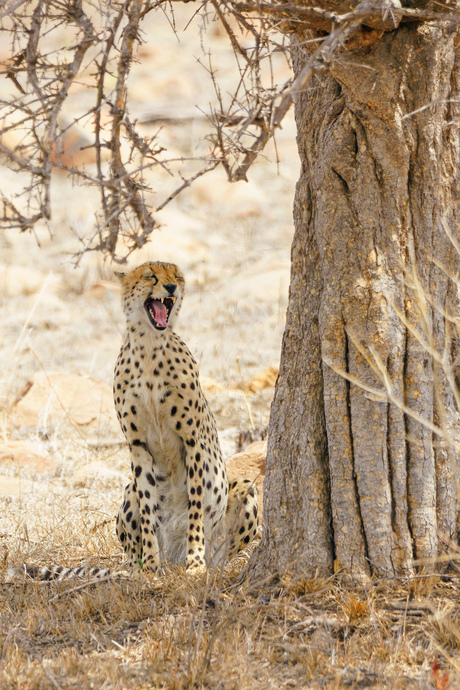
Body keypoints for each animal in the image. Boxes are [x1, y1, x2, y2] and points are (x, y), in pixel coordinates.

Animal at [8, 260, 258, 576]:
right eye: (151, 276)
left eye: (177, 276)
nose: (171, 287)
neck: (150, 345)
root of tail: (173, 558)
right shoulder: (138, 445)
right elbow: (148, 511)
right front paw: (150, 566)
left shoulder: (192, 441)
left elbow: (196, 506)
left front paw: (196, 563)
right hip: (128, 492)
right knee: (132, 541)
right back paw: (142, 567)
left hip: (246, 489)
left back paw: (205, 565)